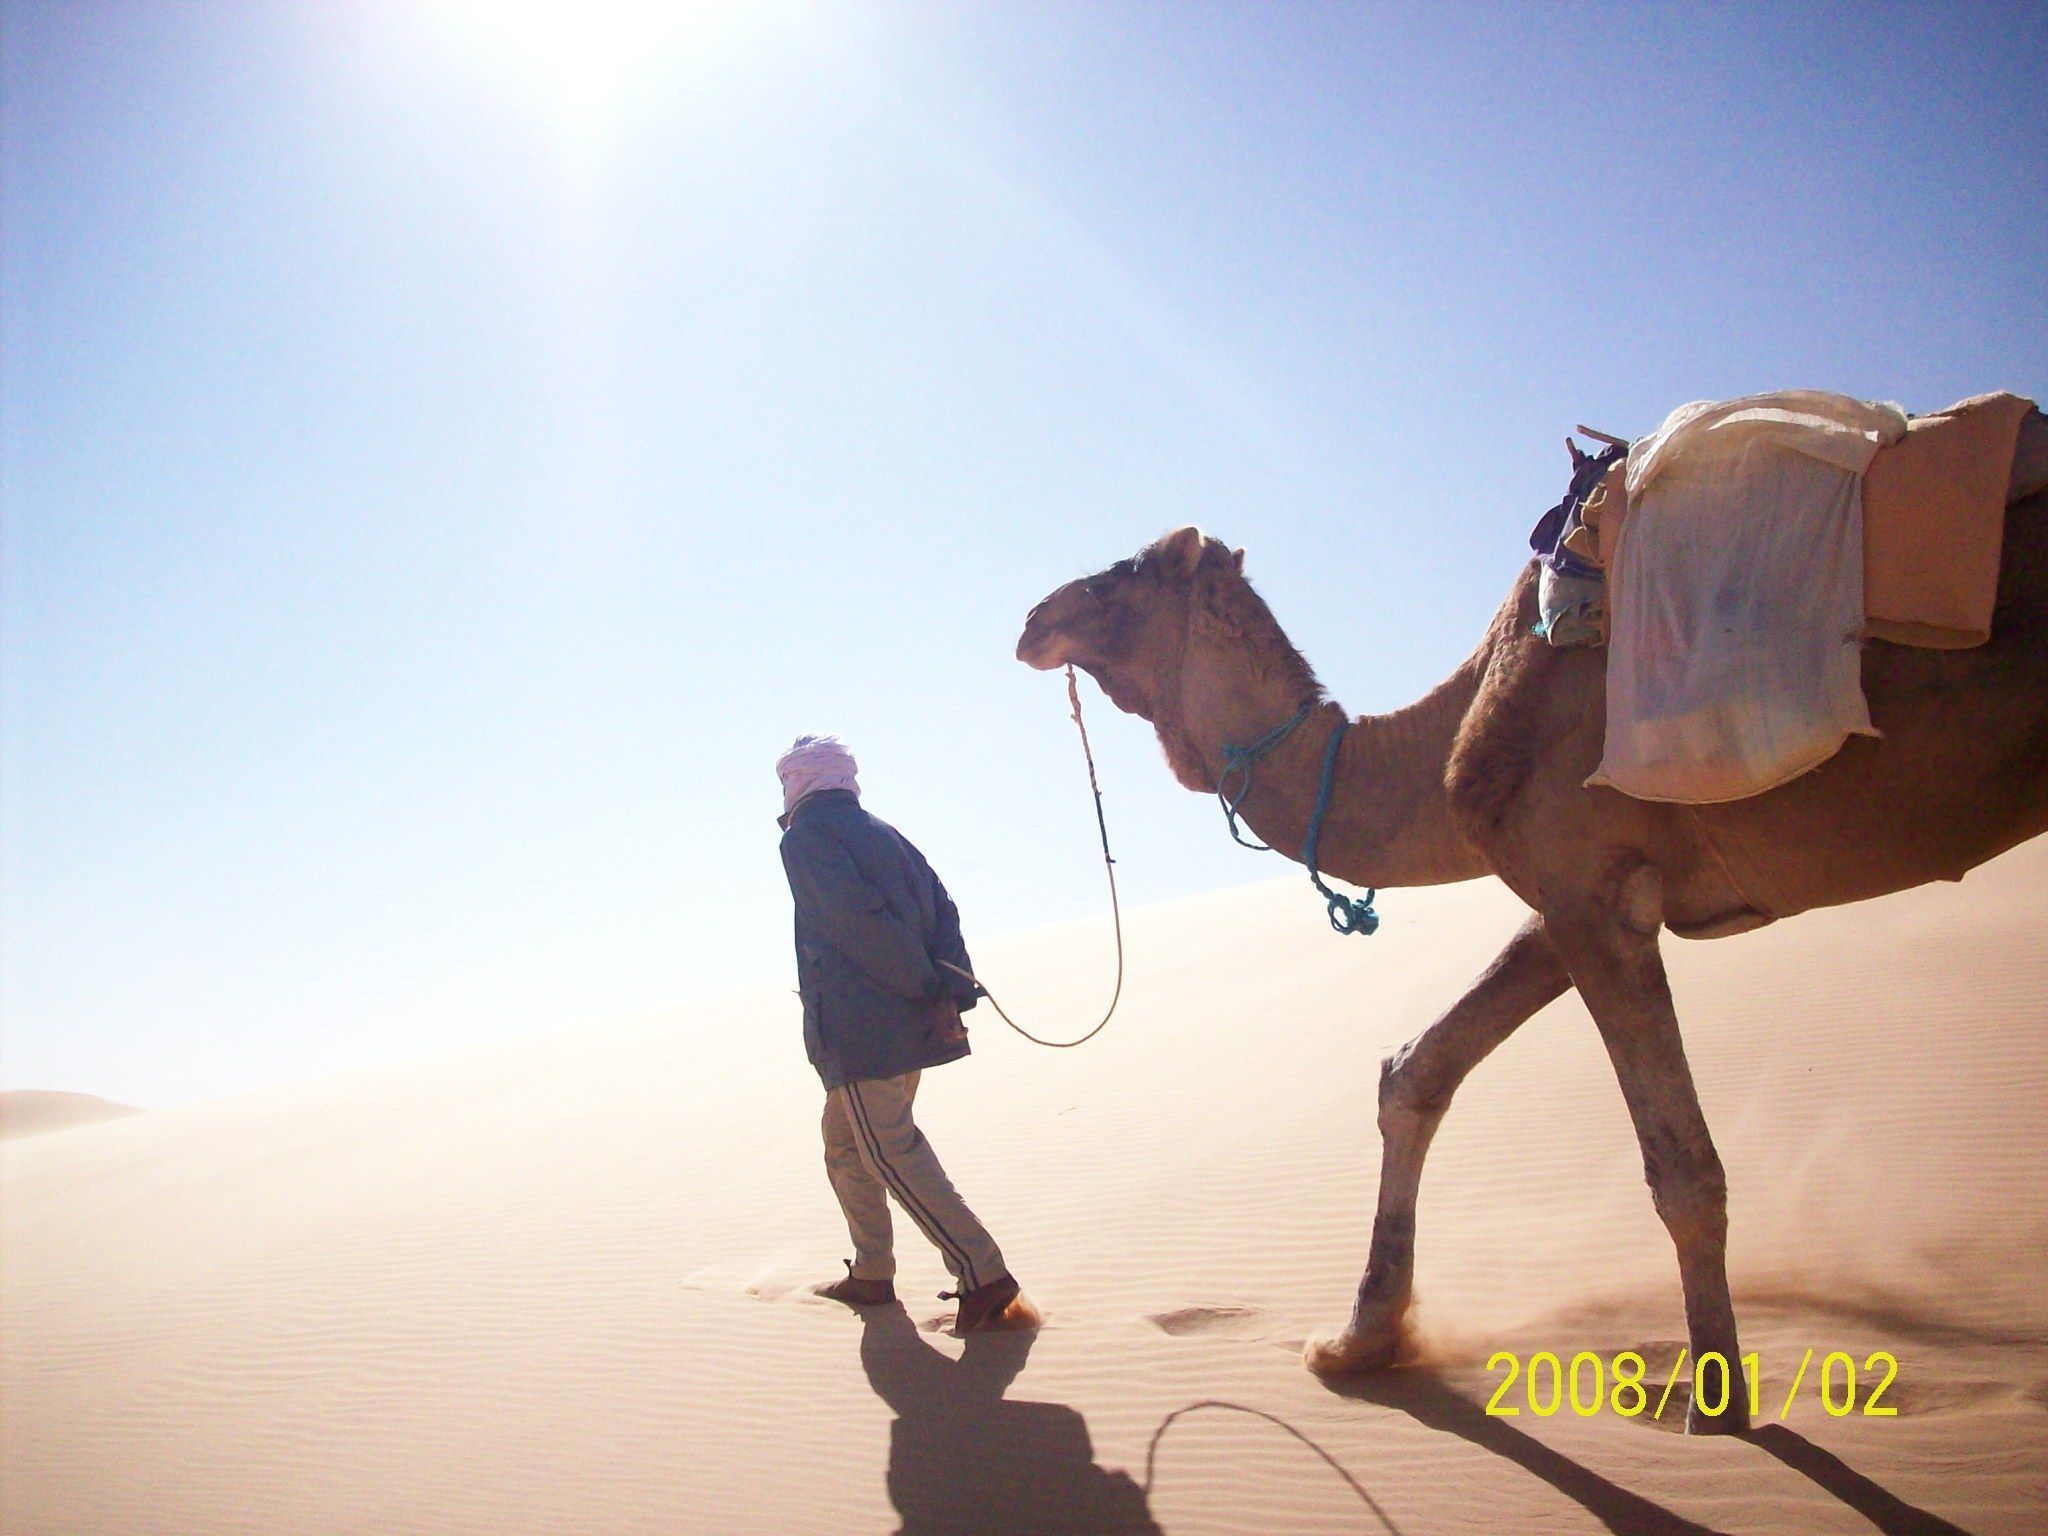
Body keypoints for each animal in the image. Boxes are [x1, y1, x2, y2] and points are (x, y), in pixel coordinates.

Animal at [1015, 428, 2048, 1441]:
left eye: (1123, 572)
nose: (1031, 618)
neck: (1446, 745)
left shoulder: (1597, 895)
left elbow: (1683, 1171)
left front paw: (1718, 1403)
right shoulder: (1566, 898)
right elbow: (1415, 1072)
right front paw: (1359, 1341)